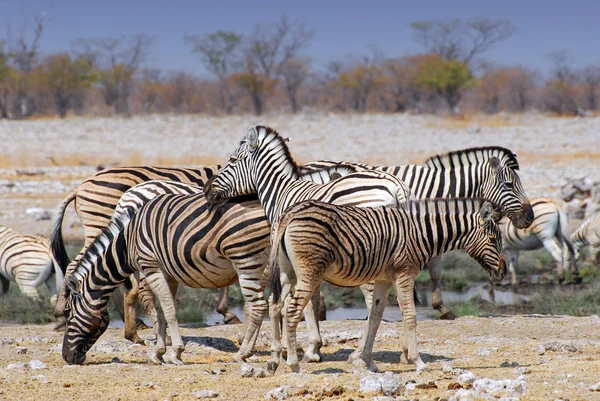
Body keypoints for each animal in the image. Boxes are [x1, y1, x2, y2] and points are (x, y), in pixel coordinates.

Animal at [204, 125, 414, 362]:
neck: (280, 192)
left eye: (232, 160)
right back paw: (405, 352)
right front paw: (314, 347)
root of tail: (396, 186)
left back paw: (359, 353)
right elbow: (311, 300)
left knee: (372, 301)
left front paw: (301, 349)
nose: (206, 190)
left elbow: (293, 302)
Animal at [264, 198, 504, 374]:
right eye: (493, 240)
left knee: (275, 305)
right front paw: (418, 361)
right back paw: (294, 364)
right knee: (291, 311)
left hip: (288, 274)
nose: (502, 272)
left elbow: (375, 318)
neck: (421, 234)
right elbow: (410, 315)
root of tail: (290, 213)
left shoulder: (384, 280)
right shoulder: (405, 273)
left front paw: (368, 361)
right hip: (309, 273)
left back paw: (274, 360)